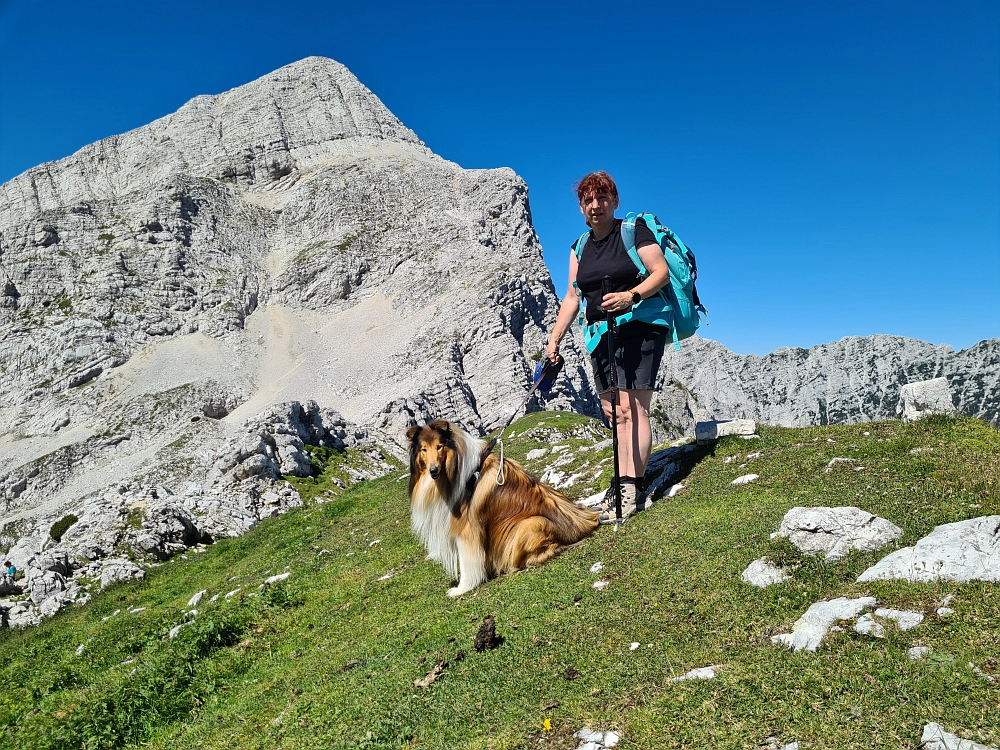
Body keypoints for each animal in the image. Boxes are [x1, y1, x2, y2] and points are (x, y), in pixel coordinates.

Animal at [404, 420, 596, 596]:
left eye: (439, 447)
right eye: (423, 450)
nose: (433, 470)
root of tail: (587, 523)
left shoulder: (467, 529)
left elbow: (466, 563)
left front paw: (462, 588)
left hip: (530, 524)